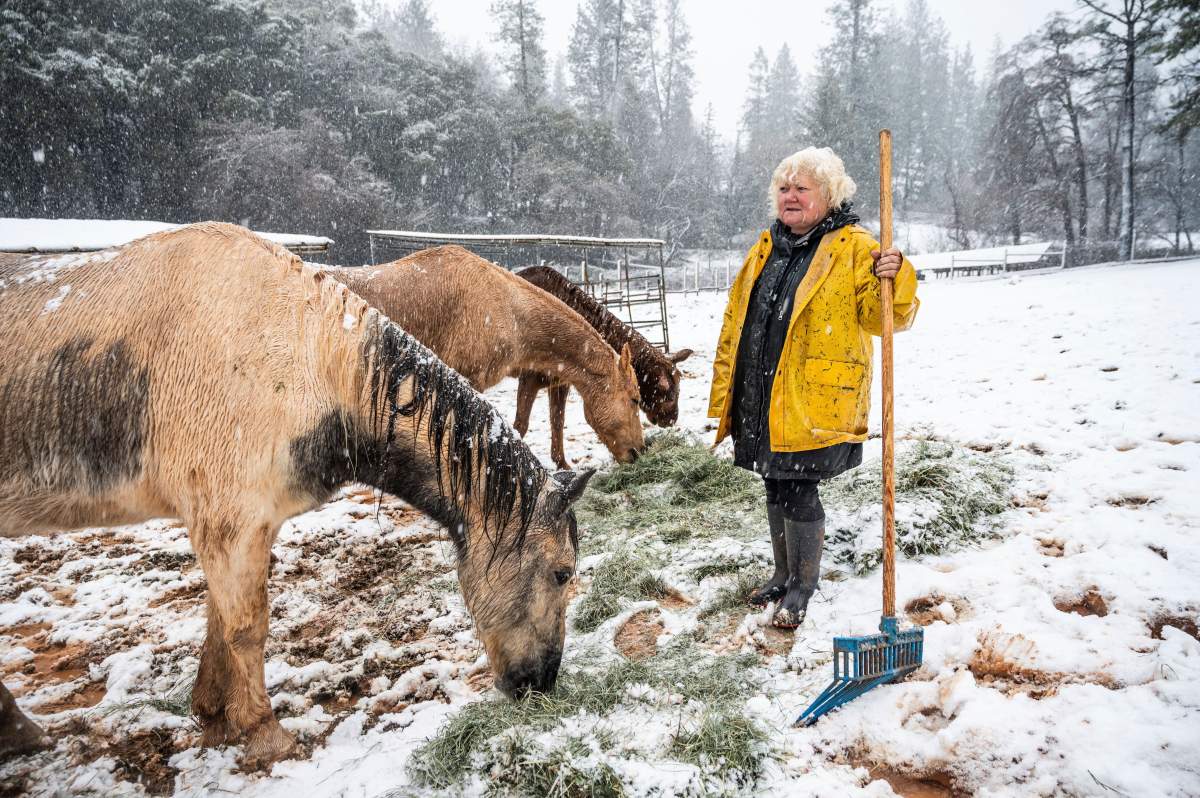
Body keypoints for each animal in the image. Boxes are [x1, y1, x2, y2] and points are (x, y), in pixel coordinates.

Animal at [0, 223, 592, 766]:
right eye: (562, 573)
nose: (541, 683)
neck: (304, 360)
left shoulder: (241, 526)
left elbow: (219, 624)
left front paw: (213, 716)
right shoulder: (231, 524)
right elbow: (246, 629)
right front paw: (264, 734)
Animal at [513, 266, 693, 467]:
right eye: (667, 392)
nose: (671, 419)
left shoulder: (560, 381)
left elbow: (557, 421)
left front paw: (561, 463)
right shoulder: (529, 376)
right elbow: (520, 425)